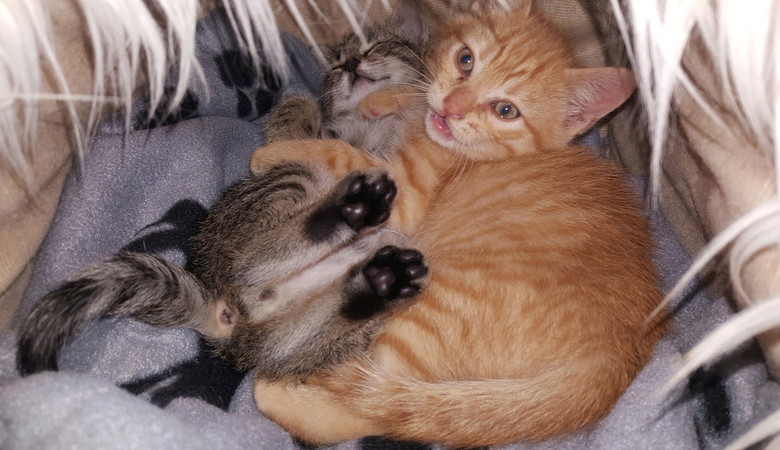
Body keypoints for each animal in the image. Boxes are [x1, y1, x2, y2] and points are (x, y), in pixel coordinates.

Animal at [248, 0, 664, 446]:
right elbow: (415, 86)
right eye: (465, 60)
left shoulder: (404, 191)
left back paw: (274, 391)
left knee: (377, 411)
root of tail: (614, 364)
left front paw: (272, 153)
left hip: (432, 308)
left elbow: (341, 156)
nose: (452, 108)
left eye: (505, 110)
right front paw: (383, 99)